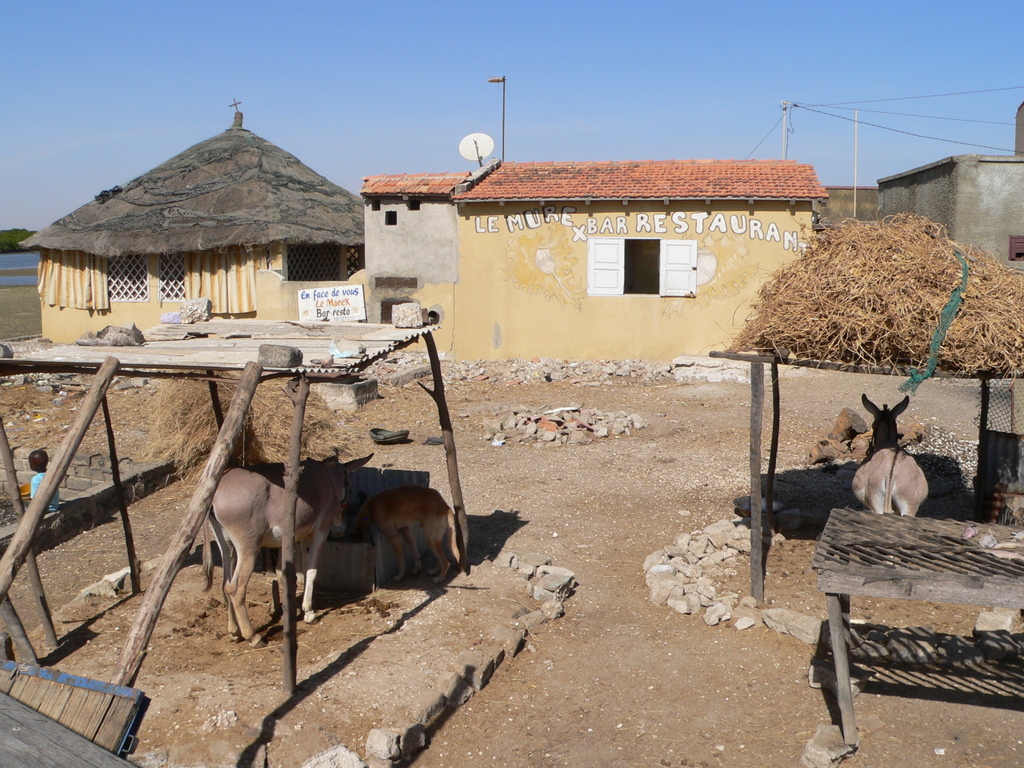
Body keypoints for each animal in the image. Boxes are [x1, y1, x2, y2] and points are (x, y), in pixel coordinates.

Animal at [203, 454, 372, 643]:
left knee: (226, 585)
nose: (339, 530)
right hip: (249, 547)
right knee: (235, 588)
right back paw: (253, 637)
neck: (327, 475)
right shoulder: (319, 531)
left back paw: (234, 632)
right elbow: (311, 570)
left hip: (226, 544)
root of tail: (216, 496)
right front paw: (309, 614)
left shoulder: (297, 537)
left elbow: (291, 572)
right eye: (349, 488)